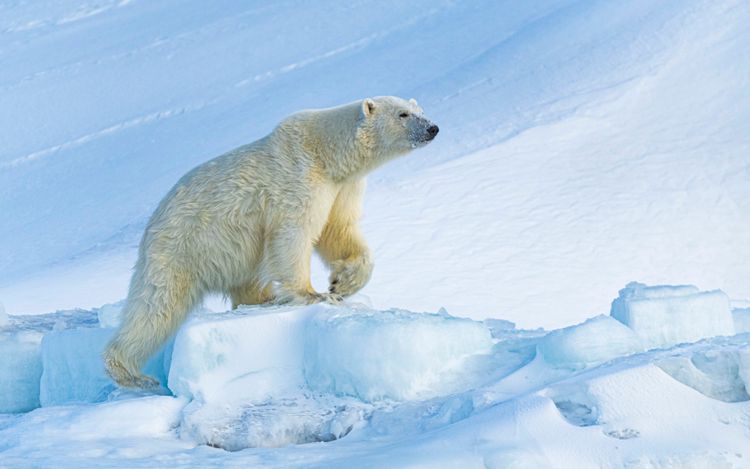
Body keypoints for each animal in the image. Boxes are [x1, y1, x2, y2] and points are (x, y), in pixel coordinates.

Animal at [103, 96, 439, 388]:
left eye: (418, 109)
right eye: (403, 114)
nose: (432, 128)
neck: (326, 152)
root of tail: (152, 223)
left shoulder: (343, 187)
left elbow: (339, 230)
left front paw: (341, 284)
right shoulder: (299, 180)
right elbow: (294, 232)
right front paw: (314, 294)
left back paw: (262, 300)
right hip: (180, 247)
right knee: (157, 306)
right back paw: (132, 374)